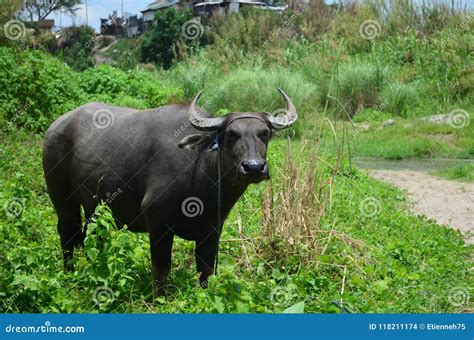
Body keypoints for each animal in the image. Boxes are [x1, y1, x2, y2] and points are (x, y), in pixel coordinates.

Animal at [43, 89, 296, 294]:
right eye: (231, 134)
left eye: (265, 133)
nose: (253, 167)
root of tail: (56, 126)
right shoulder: (158, 224)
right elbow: (161, 269)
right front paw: (159, 299)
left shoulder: (212, 229)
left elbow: (206, 270)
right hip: (63, 201)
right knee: (68, 233)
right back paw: (70, 274)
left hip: (93, 208)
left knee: (92, 235)